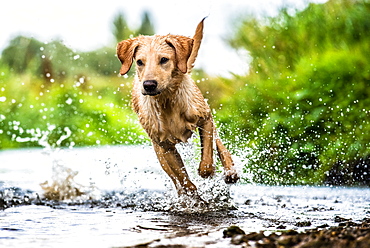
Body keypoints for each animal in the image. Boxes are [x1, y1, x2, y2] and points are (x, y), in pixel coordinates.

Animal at [116, 19, 240, 202]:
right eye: (139, 62)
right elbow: (182, 179)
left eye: (164, 59)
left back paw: (230, 171)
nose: (149, 85)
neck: (167, 101)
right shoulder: (164, 146)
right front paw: (192, 196)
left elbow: (207, 158)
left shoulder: (205, 119)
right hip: (159, 152)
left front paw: (208, 172)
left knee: (219, 145)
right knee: (175, 178)